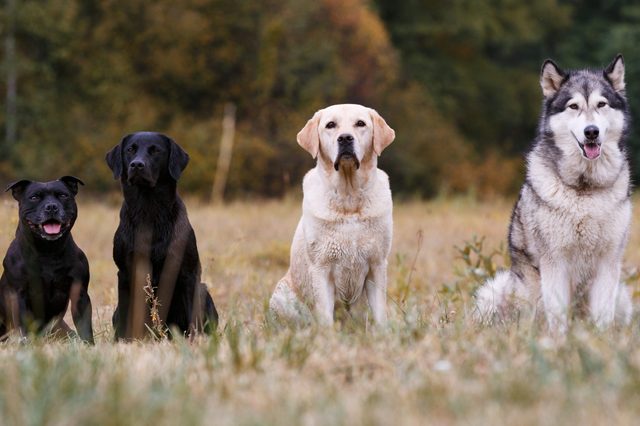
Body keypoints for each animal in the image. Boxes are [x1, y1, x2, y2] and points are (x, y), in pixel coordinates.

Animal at [0, 176, 94, 342]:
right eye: (34, 197)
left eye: (63, 195)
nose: (51, 207)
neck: (48, 250)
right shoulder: (19, 294)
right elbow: (24, 327)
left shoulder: (80, 293)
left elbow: (85, 326)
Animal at [104, 131, 216, 340]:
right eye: (130, 149)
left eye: (156, 151)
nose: (137, 165)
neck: (149, 212)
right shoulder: (124, 272)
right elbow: (126, 314)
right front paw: (123, 341)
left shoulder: (188, 272)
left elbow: (193, 316)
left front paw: (195, 340)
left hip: (204, 291)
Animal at [476, 55, 632, 332]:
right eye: (573, 106)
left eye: (601, 104)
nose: (591, 131)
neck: (585, 189)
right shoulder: (555, 262)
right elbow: (558, 316)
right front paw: (558, 340)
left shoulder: (608, 262)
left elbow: (602, 317)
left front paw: (599, 339)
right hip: (495, 292)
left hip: (622, 296)